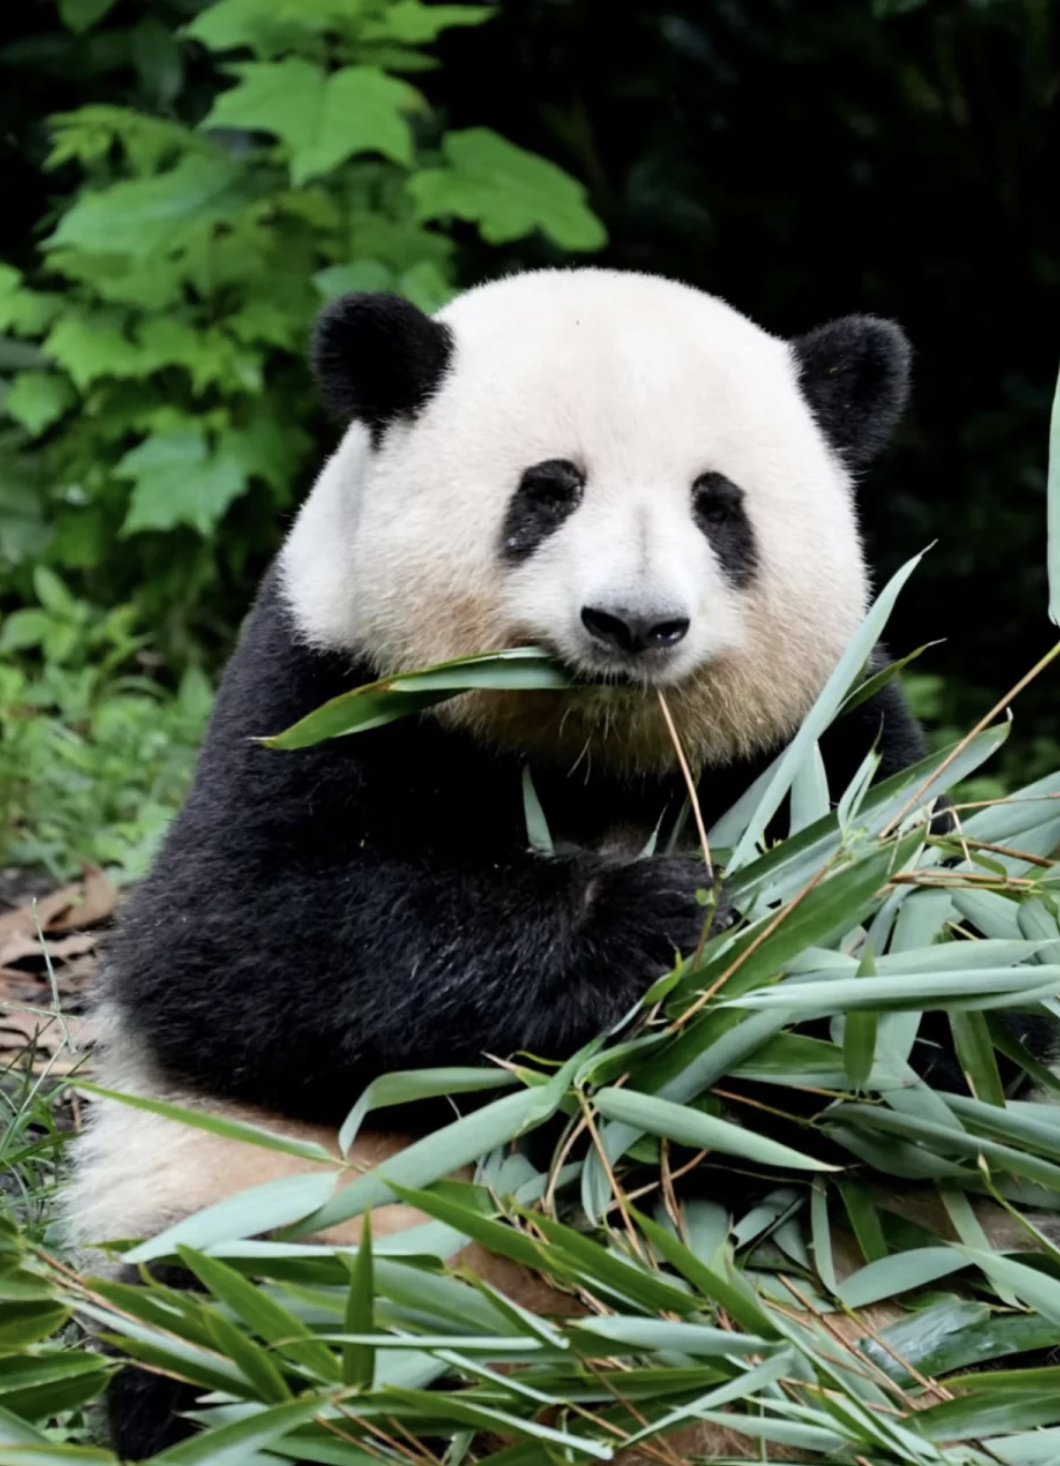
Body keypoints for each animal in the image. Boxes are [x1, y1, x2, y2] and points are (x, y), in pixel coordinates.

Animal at [68, 267, 973, 1461]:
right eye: (547, 491)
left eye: (718, 504)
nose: (633, 623)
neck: (599, 750)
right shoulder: (320, 681)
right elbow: (237, 939)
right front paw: (656, 929)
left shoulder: (837, 732)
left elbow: (937, 1002)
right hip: (279, 1218)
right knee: (227, 1333)